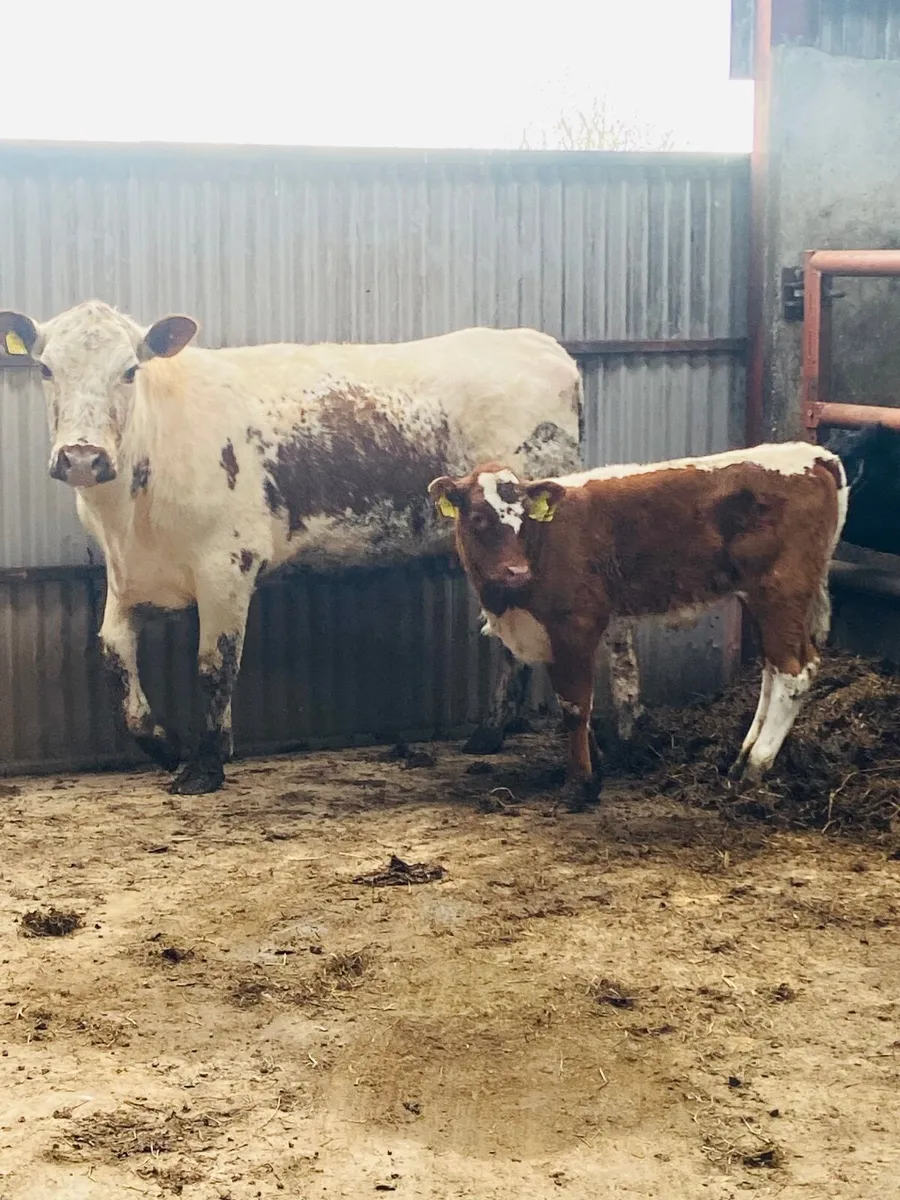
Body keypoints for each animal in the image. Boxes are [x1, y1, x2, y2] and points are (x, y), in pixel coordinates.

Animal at [0, 301, 591, 795]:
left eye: (129, 371)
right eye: (46, 369)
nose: (82, 457)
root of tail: (541, 345)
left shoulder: (227, 564)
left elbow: (215, 666)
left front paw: (205, 767)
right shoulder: (128, 576)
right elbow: (113, 657)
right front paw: (166, 746)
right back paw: (491, 733)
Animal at [428, 443, 848, 809]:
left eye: (524, 519)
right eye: (478, 519)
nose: (517, 572)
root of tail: (814, 455)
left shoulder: (575, 624)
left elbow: (575, 705)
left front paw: (579, 786)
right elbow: (575, 704)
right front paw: (594, 772)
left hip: (781, 590)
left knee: (794, 672)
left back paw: (755, 767)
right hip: (760, 597)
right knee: (771, 670)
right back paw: (741, 759)